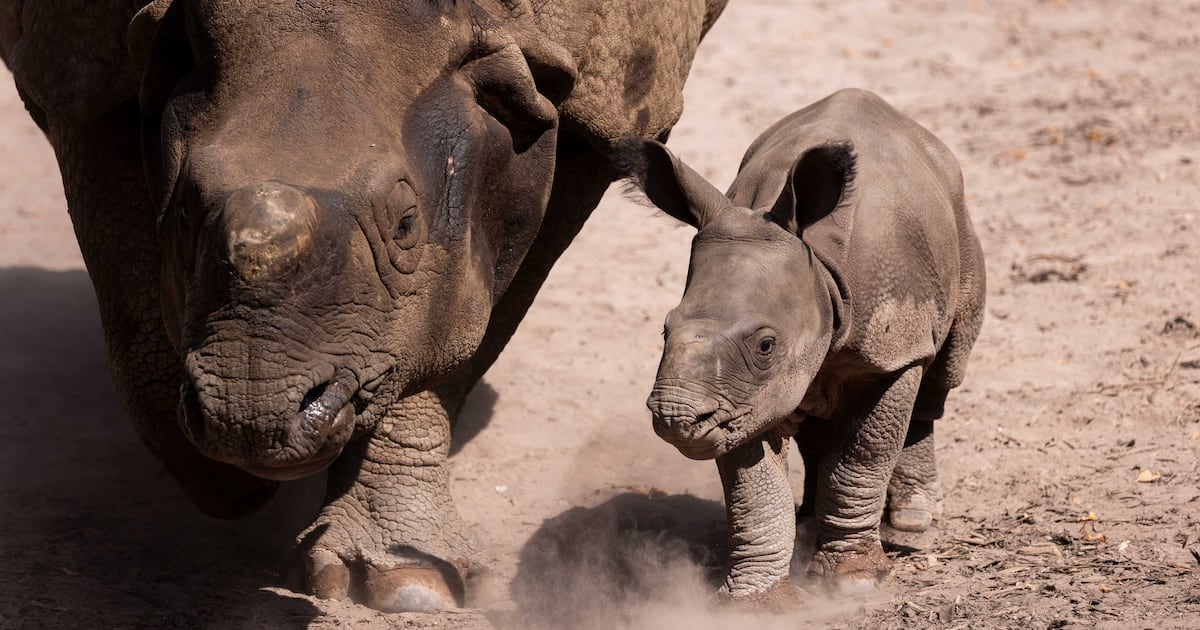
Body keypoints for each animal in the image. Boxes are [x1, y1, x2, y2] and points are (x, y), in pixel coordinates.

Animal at [1, 0, 727, 612]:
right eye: (182, 210)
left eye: (406, 225)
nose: (251, 418)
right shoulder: (76, 67)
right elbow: (133, 304)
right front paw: (227, 482)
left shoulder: (600, 102)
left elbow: (447, 340)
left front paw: (407, 583)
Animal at [620, 88, 986, 600]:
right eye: (664, 330)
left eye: (765, 345)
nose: (676, 418)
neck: (820, 272)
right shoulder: (741, 399)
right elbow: (753, 490)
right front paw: (755, 602)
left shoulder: (889, 352)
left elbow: (862, 456)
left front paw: (853, 583)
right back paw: (811, 520)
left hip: (958, 231)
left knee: (943, 369)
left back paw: (912, 519)